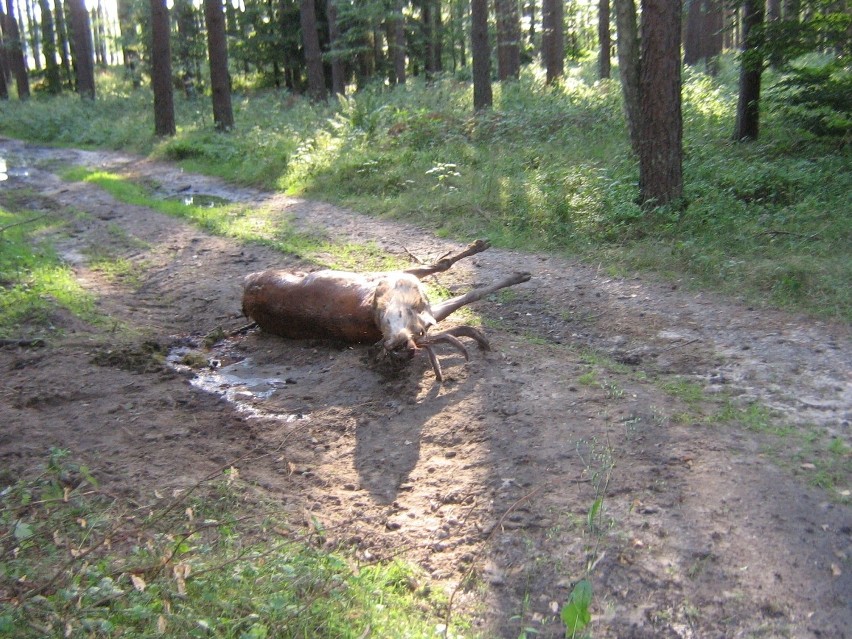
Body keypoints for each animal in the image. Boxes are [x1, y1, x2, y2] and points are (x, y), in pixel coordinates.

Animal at [240, 240, 528, 380]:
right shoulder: (403, 286)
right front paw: (518, 274)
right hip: (396, 277)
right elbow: (464, 287)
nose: (399, 347)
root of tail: (246, 290)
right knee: (439, 267)